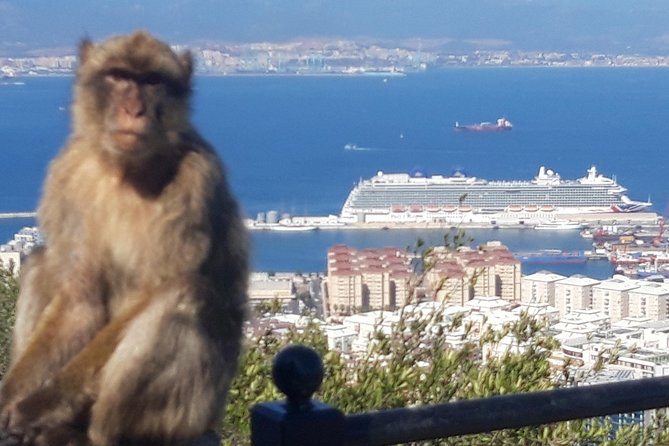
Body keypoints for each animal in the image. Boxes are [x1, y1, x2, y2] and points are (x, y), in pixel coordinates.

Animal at [0, 31, 248, 446]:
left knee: (182, 294)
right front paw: (11, 399)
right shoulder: (68, 172)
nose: (134, 110)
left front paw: (36, 407)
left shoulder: (195, 180)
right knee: (39, 264)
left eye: (151, 81)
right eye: (119, 77)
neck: (125, 169)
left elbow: (148, 296)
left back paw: (97, 434)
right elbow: (79, 304)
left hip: (192, 412)